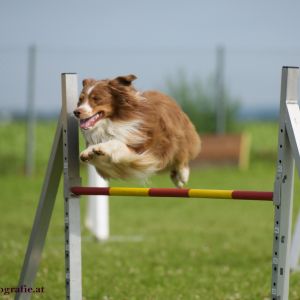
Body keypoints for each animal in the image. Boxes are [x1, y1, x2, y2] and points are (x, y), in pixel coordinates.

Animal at [74, 74, 202, 188]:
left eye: (96, 99)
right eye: (80, 100)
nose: (76, 112)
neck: (111, 122)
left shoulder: (140, 148)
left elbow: (116, 142)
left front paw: (100, 147)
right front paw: (88, 151)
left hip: (176, 137)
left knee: (182, 154)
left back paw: (182, 176)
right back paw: (176, 178)